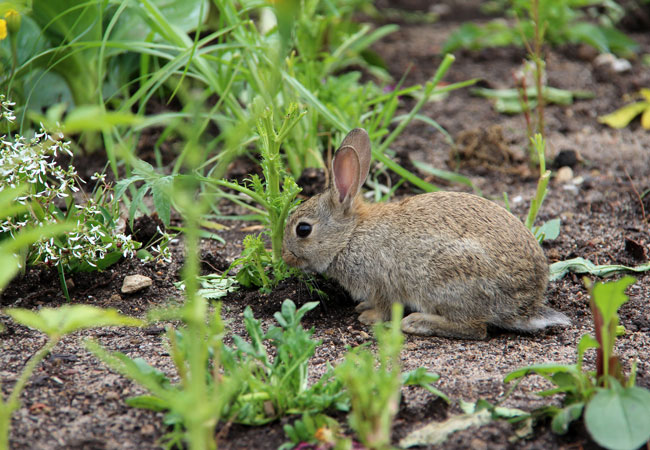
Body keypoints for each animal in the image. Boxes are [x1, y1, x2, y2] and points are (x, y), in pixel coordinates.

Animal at [280, 128, 568, 340]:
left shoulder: (381, 282)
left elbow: (384, 307)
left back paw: (417, 322)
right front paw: (363, 308)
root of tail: (525, 306)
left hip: (446, 281)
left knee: (476, 328)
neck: (349, 236)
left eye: (303, 229)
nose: (285, 257)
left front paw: (368, 317)